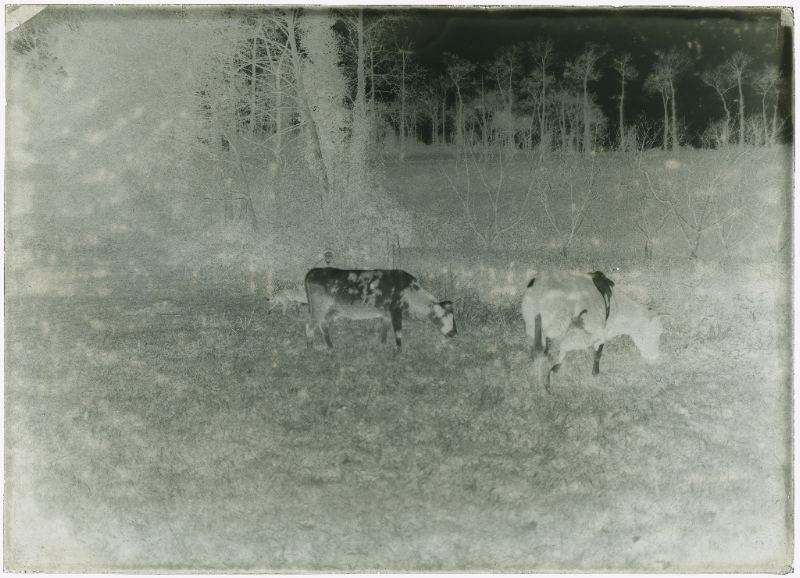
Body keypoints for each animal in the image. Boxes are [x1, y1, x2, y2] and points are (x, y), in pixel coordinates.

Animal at [520, 272, 664, 392]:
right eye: (655, 333)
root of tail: (537, 286)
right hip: (554, 325)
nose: (655, 357)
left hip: (531, 323)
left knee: (538, 349)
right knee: (542, 349)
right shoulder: (595, 336)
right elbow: (595, 357)